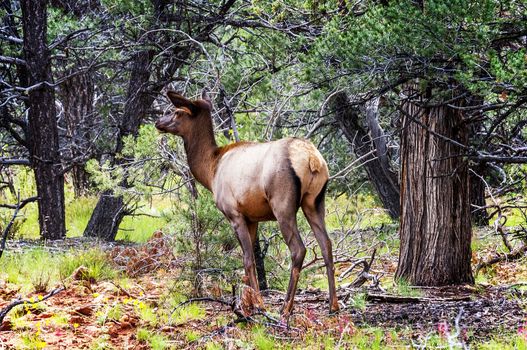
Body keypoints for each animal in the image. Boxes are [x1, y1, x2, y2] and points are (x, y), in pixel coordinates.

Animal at [155, 90, 340, 318]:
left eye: (177, 111)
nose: (158, 122)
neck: (210, 170)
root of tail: (312, 159)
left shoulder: (234, 214)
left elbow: (247, 259)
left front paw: (258, 305)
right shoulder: (253, 218)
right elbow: (249, 259)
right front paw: (250, 302)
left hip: (283, 204)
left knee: (298, 249)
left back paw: (286, 307)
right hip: (315, 202)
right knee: (327, 245)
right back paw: (333, 305)